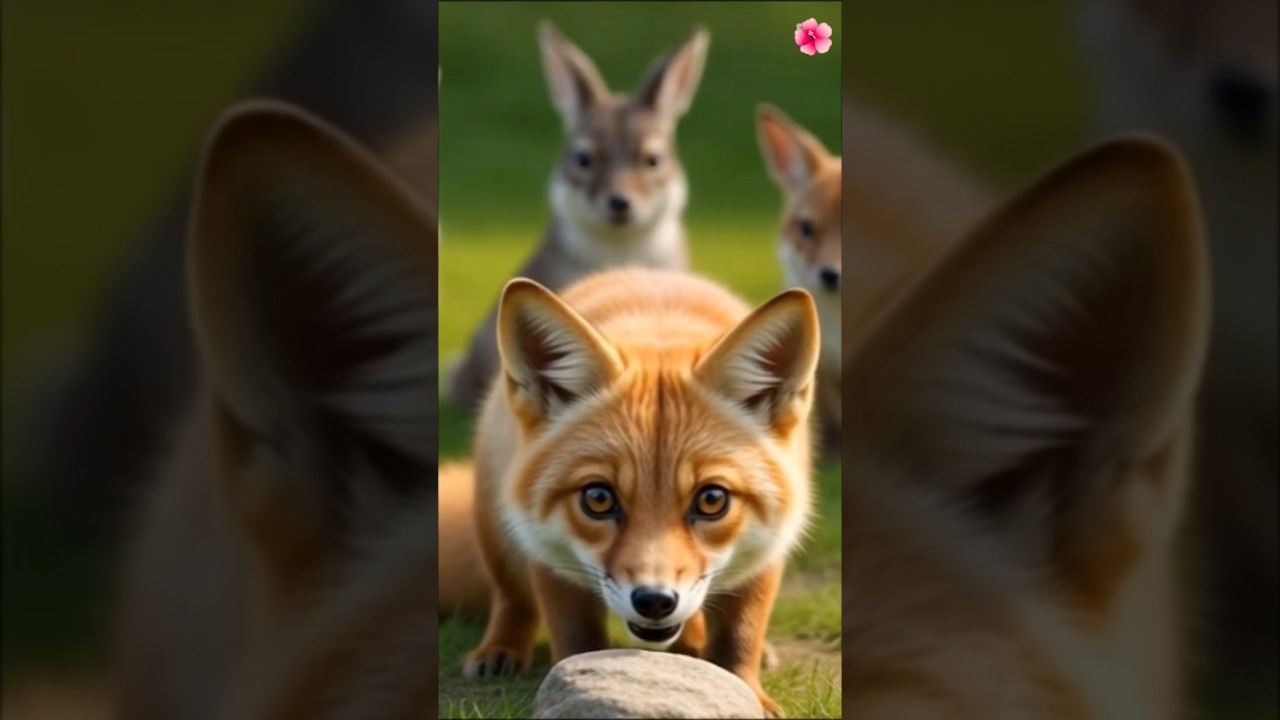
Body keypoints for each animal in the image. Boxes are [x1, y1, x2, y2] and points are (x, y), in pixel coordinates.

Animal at [446, 267, 819, 717]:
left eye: (712, 500)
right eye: (598, 498)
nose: (655, 601)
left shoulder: (768, 544)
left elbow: (739, 636)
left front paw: (750, 693)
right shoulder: (548, 548)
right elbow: (577, 639)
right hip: (497, 528)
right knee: (511, 599)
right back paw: (499, 649)